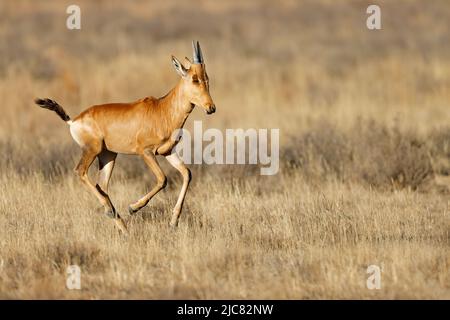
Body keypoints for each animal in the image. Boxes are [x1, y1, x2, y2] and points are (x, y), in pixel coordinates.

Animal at [35, 41, 214, 234]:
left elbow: (187, 174)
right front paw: (133, 207)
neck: (162, 109)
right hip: (92, 150)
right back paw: (111, 211)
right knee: (80, 172)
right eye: (194, 79)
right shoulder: (145, 152)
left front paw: (173, 221)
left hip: (108, 155)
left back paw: (122, 226)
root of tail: (74, 120)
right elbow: (162, 179)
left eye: (207, 78)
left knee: (101, 185)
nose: (211, 108)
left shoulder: (168, 152)